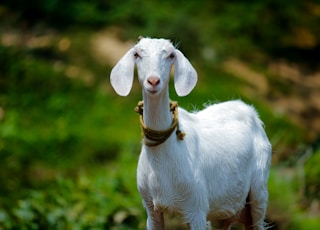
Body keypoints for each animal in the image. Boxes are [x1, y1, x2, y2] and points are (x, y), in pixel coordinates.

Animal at [109, 36, 270, 229]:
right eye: (137, 54)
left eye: (171, 55)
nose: (153, 81)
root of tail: (249, 110)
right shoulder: (151, 208)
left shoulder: (196, 207)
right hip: (223, 211)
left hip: (259, 192)